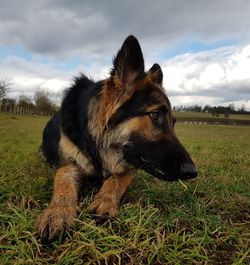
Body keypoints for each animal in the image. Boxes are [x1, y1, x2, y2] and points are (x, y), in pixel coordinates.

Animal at [36, 35, 197, 241]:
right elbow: (62, 182)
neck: (99, 145)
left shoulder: (128, 166)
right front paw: (58, 212)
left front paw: (105, 201)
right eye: (155, 116)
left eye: (174, 122)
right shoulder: (69, 163)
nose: (192, 171)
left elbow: (116, 181)